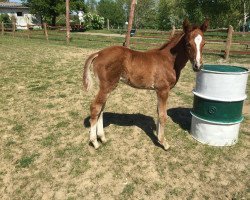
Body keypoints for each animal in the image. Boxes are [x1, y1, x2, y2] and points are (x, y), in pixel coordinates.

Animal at [83, 19, 208, 150]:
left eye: (204, 43)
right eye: (188, 44)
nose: (198, 66)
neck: (169, 60)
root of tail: (98, 53)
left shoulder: (158, 91)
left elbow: (158, 112)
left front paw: (158, 137)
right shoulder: (163, 90)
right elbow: (163, 115)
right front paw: (164, 142)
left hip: (106, 87)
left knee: (101, 108)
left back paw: (102, 138)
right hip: (107, 86)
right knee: (96, 107)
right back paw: (95, 142)